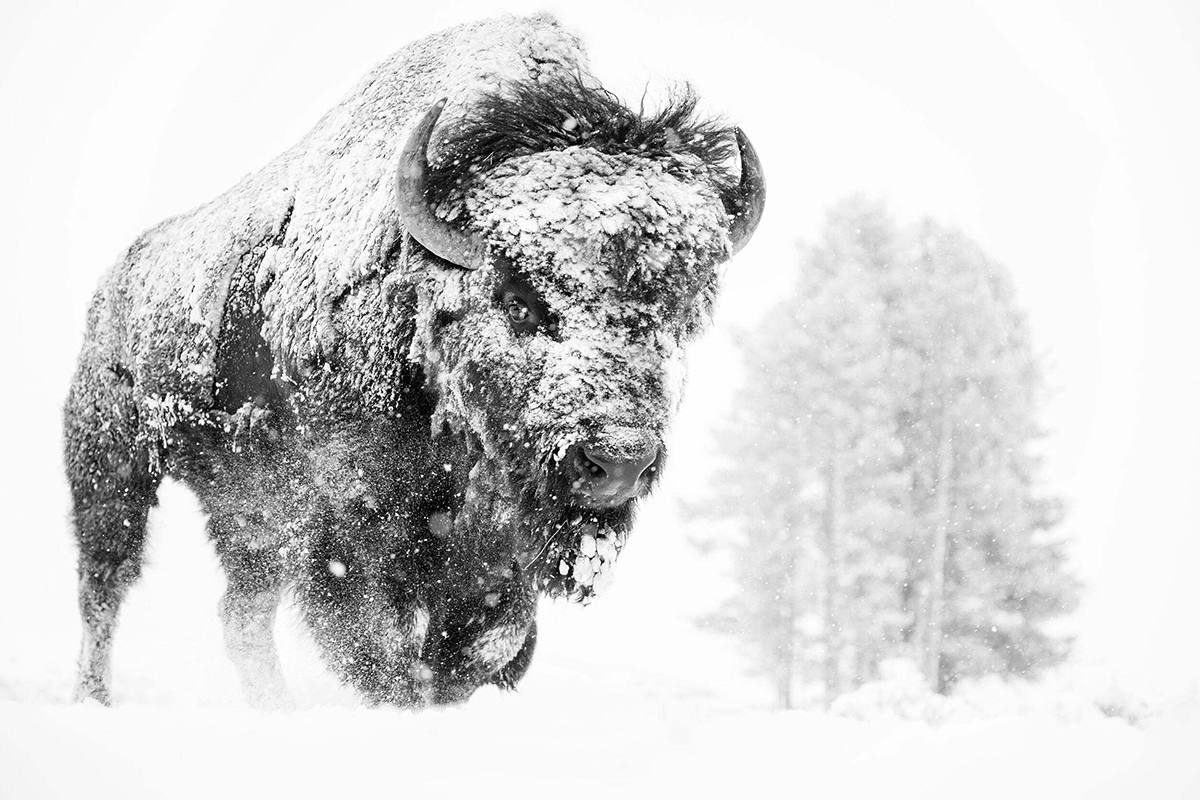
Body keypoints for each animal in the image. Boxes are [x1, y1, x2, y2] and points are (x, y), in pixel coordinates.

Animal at [64, 13, 764, 708]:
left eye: (682, 311)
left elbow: (489, 646)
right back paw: (94, 698)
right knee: (106, 584)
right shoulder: (352, 537)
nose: (617, 463)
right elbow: (388, 654)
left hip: (247, 512)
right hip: (115, 466)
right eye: (518, 298)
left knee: (241, 615)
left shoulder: (494, 561)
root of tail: (116, 281)